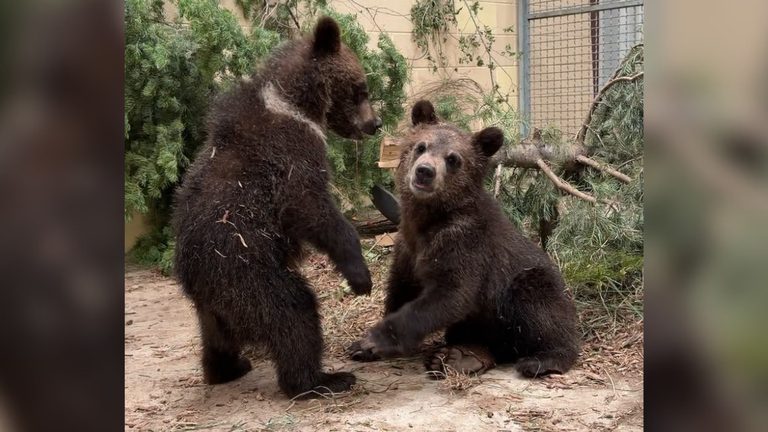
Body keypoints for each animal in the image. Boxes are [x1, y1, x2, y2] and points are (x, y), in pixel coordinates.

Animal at [172, 17, 381, 399]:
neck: (295, 103)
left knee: (216, 341)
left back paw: (228, 368)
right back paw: (320, 380)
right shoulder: (291, 154)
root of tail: (196, 284)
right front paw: (360, 276)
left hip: (212, 306)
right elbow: (310, 207)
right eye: (360, 89)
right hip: (248, 273)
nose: (375, 124)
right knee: (293, 313)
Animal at [347, 100, 579, 379]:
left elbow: (451, 295)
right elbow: (400, 289)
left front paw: (376, 339)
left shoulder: (466, 244)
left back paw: (542, 359)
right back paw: (459, 357)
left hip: (528, 288)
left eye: (452, 159)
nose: (424, 171)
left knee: (538, 307)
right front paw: (363, 346)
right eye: (421, 146)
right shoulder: (406, 248)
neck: (428, 220)